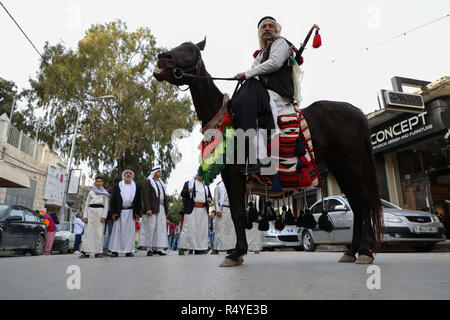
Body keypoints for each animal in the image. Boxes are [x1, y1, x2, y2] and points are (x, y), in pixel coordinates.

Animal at [153, 39, 382, 264]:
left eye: (191, 50)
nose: (163, 57)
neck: (226, 118)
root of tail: (358, 113)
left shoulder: (234, 174)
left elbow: (237, 212)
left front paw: (237, 252)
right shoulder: (229, 174)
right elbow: (236, 212)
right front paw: (237, 251)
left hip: (352, 163)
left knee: (363, 200)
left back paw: (364, 251)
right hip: (340, 167)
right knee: (355, 204)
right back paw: (351, 251)